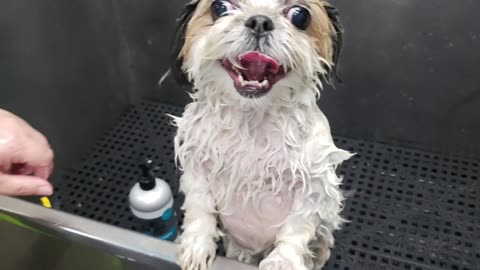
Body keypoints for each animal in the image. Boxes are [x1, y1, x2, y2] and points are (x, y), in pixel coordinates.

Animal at [171, 0, 350, 270]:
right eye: (219, 7)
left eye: (300, 15)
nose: (259, 21)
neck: (252, 122)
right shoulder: (197, 164)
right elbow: (200, 207)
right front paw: (196, 245)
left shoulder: (314, 183)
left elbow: (297, 227)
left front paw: (283, 261)